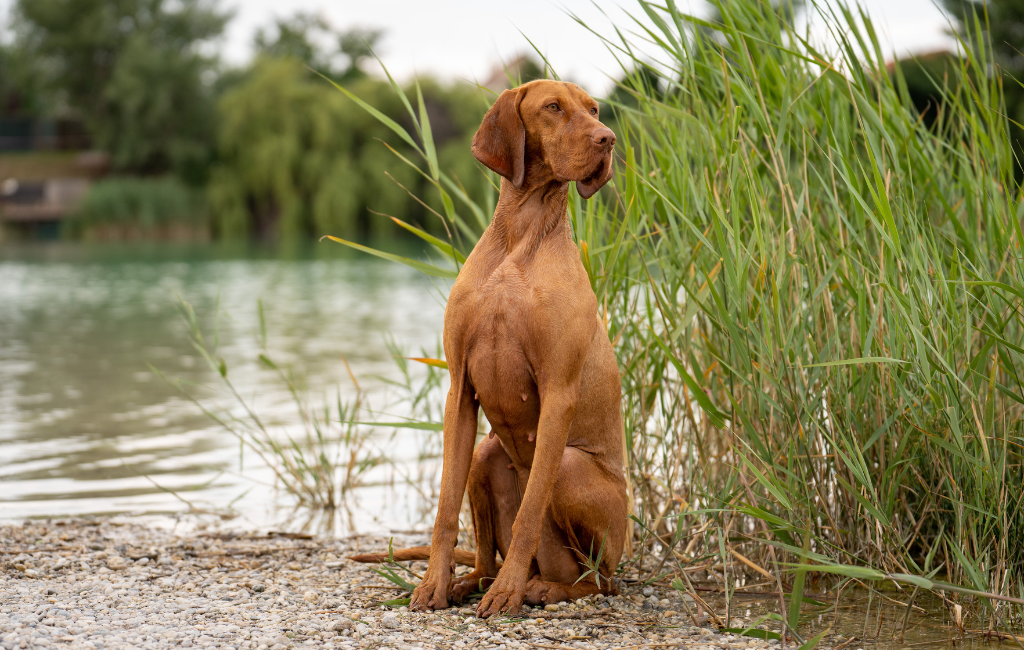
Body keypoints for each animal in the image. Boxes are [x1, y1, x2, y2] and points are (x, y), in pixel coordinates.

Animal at [350, 78, 622, 618]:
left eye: (595, 109)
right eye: (554, 107)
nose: (608, 140)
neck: (520, 239)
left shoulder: (559, 394)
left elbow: (529, 512)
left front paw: (507, 594)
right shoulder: (460, 388)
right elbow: (443, 509)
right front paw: (432, 584)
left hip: (571, 469)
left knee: (598, 581)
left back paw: (539, 588)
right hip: (486, 452)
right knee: (484, 558)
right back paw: (468, 582)